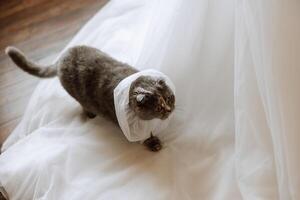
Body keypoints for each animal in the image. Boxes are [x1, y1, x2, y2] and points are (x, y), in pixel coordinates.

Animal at [5, 45, 176, 152]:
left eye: (168, 99)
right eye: (159, 107)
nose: (169, 109)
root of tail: (62, 57)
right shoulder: (125, 123)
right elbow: (143, 136)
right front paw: (153, 143)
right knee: (82, 104)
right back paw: (89, 113)